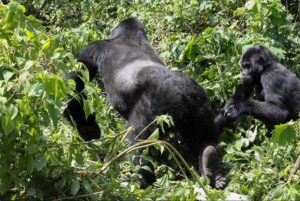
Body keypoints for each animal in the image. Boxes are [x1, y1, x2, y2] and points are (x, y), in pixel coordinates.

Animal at [64, 18, 226, 189]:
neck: (127, 38)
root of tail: (182, 92)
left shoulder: (95, 47)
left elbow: (77, 78)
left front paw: (86, 128)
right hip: (199, 105)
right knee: (203, 136)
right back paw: (211, 162)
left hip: (157, 108)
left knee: (137, 142)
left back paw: (142, 182)